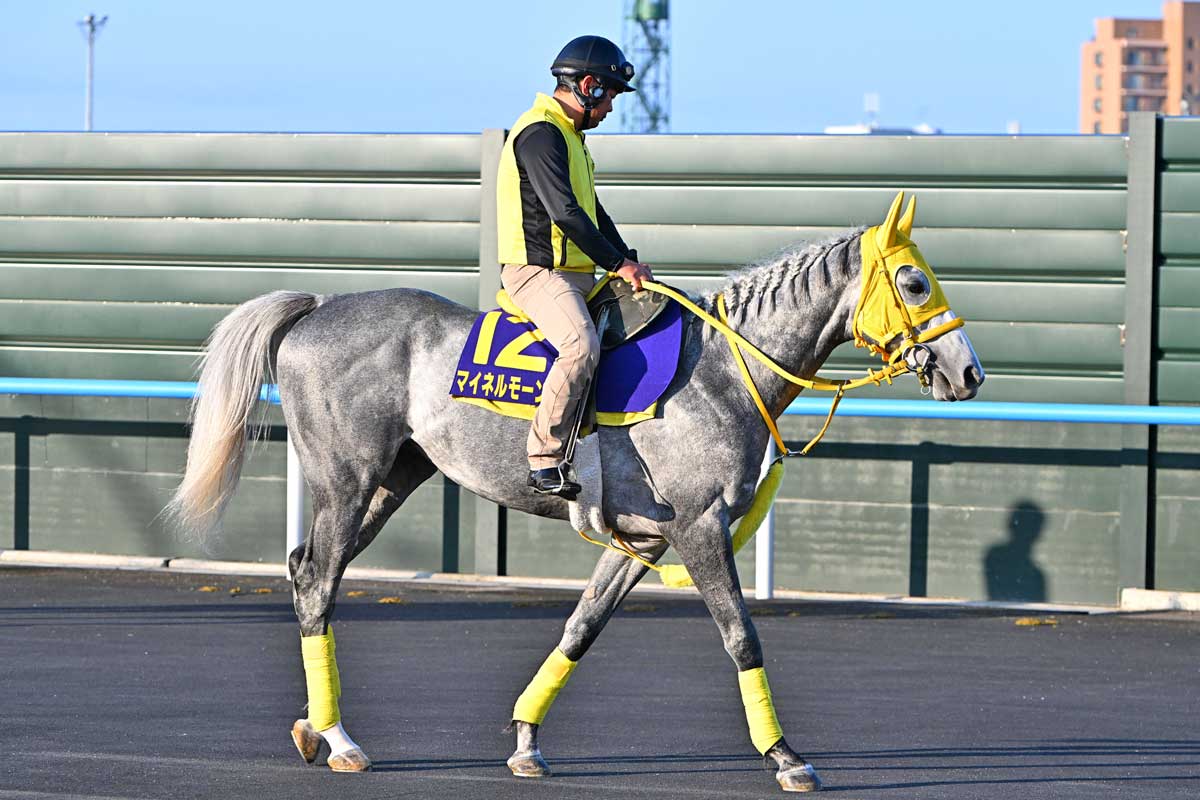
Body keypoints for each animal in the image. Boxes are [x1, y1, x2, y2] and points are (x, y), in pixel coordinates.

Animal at [168, 193, 984, 792]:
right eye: (915, 283)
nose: (968, 372)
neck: (722, 371)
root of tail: (316, 307)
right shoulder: (700, 530)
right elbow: (741, 636)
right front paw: (785, 756)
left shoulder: (641, 540)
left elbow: (579, 630)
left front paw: (527, 740)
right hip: (346, 483)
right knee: (316, 581)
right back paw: (338, 737)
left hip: (390, 484)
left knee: (312, 573)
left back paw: (316, 726)